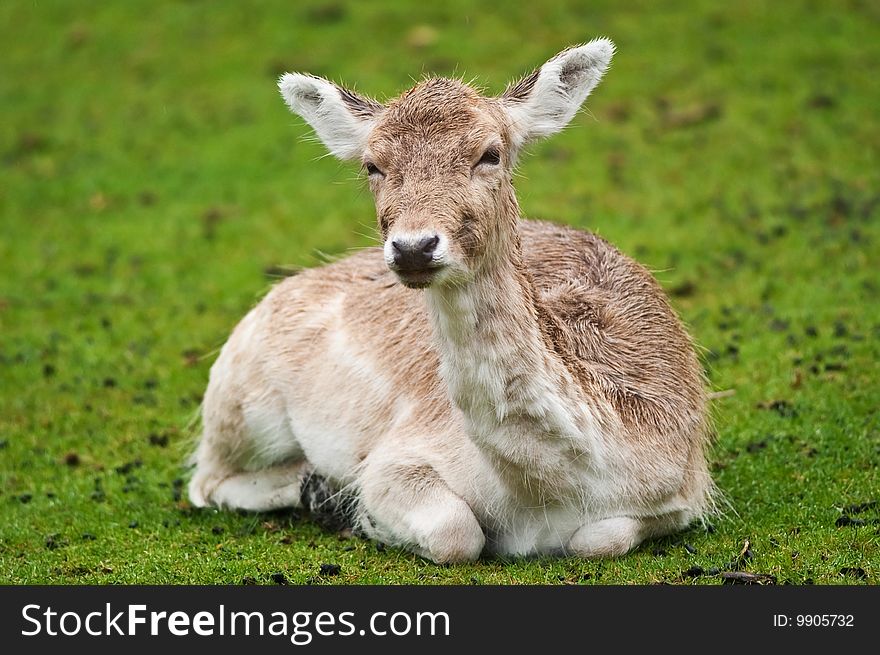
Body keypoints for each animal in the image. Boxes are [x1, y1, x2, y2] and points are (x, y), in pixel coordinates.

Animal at [187, 39, 716, 564]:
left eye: (490, 154)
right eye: (372, 165)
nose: (413, 247)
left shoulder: (684, 488)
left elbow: (600, 539)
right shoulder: (396, 455)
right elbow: (456, 532)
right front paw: (361, 514)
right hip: (242, 401)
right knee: (205, 481)